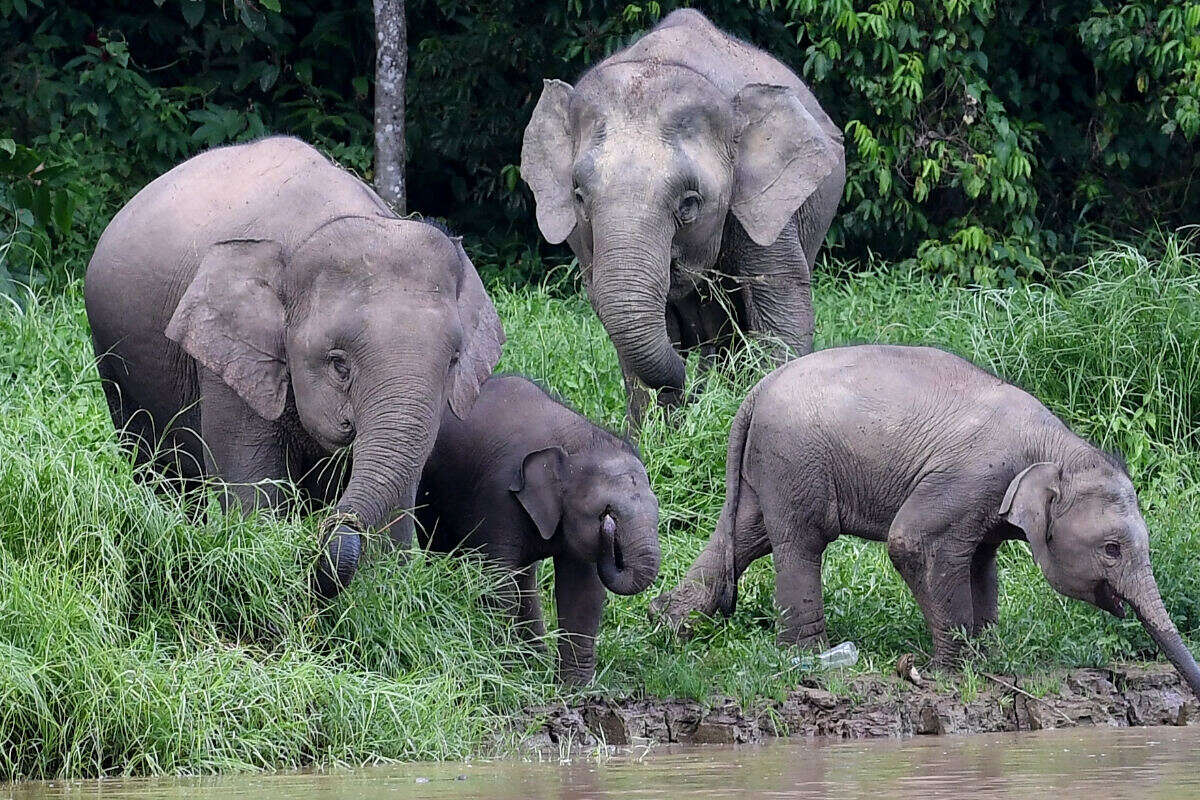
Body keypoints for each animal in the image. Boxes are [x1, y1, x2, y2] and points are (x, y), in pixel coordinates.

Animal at [84, 137, 504, 597]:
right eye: (339, 364)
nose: (334, 527)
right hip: (115, 362)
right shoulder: (228, 360)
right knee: (160, 471)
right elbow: (254, 491)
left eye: (453, 363)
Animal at [412, 376, 657, 681]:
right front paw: (504, 672)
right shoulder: (498, 496)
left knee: (525, 576)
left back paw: (535, 658)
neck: (575, 442)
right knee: (440, 547)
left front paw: (572, 687)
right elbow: (497, 579)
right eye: (606, 513)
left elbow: (582, 590)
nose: (609, 531)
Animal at [523, 7, 844, 424]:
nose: (689, 387)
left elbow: (781, 303)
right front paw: (659, 429)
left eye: (690, 203)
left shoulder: (764, 210)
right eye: (578, 196)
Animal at [652, 345, 1200, 695]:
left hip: (770, 464)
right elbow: (913, 544)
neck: (1058, 446)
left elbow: (980, 561)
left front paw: (986, 656)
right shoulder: (972, 476)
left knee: (749, 535)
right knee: (800, 541)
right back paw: (808, 655)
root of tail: (756, 389)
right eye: (1112, 549)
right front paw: (954, 670)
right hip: (795, 459)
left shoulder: (985, 499)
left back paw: (671, 624)